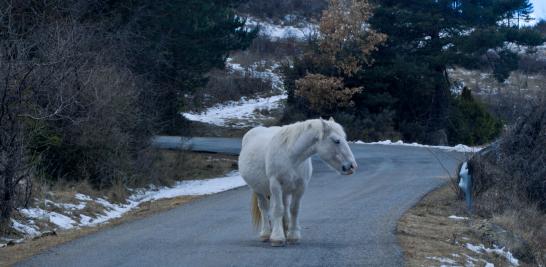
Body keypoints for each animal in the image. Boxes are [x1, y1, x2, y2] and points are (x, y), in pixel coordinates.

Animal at [238, 118, 356, 248]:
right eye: (337, 141)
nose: (352, 166)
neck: (290, 156)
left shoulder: (301, 187)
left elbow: (294, 209)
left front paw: (293, 235)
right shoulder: (275, 185)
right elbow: (278, 209)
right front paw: (277, 238)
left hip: (284, 191)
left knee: (285, 207)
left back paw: (285, 229)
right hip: (258, 190)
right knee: (264, 208)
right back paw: (266, 233)